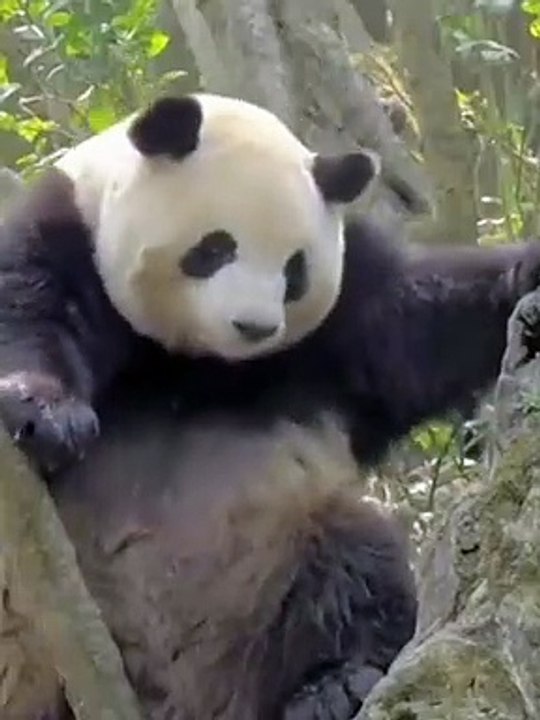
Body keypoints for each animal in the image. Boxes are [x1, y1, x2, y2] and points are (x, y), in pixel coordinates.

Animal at [1, 92, 540, 720]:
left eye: (294, 270)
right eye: (215, 248)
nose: (254, 327)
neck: (199, 360)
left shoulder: (345, 308)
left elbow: (419, 323)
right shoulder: (67, 235)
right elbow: (30, 312)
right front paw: (47, 416)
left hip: (269, 564)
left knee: (353, 562)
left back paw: (334, 683)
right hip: (28, 638)